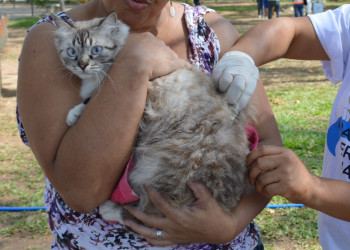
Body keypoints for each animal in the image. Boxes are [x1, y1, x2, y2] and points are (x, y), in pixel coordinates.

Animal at [53, 12, 253, 223]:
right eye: (72, 52)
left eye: (96, 50)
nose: (82, 66)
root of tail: (227, 203)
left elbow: (89, 100)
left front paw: (74, 114)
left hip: (164, 168)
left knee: (151, 210)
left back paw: (110, 208)